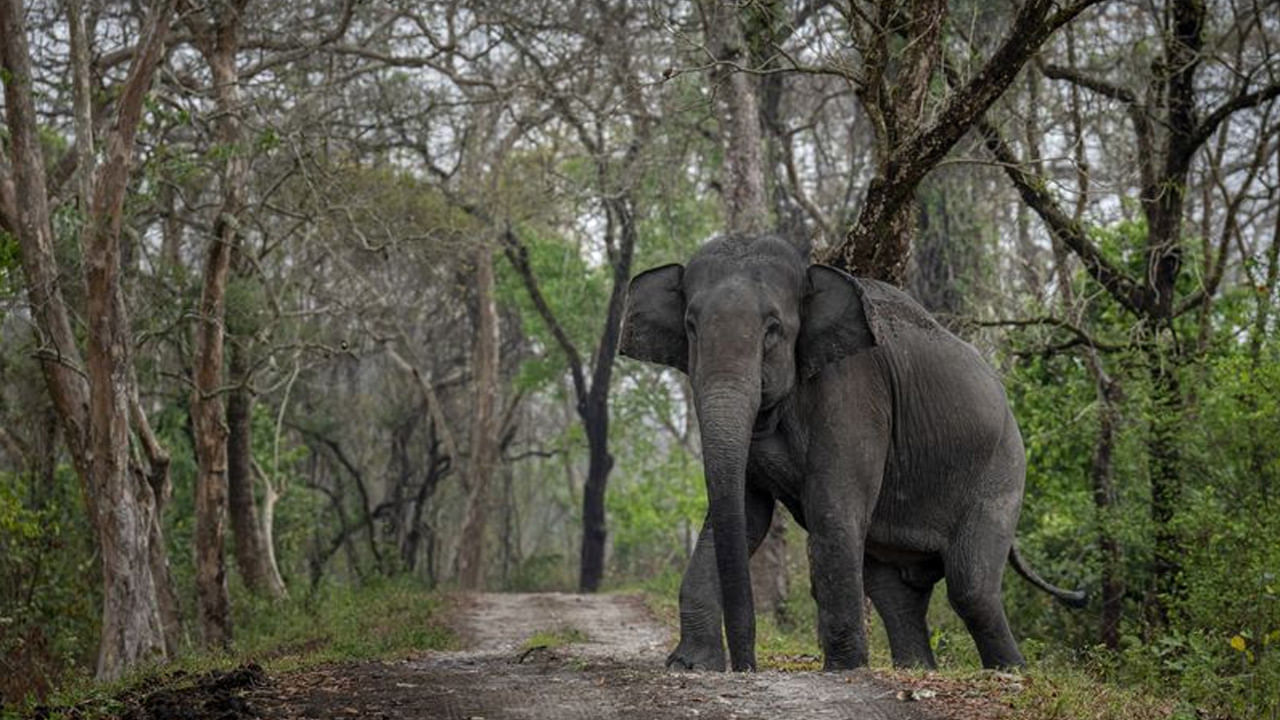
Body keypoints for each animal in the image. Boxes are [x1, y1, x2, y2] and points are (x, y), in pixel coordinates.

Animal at [616, 233, 1080, 671]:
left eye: (773, 329)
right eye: (691, 326)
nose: (747, 665)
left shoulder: (853, 389)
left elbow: (831, 509)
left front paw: (844, 669)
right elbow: (746, 515)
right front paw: (690, 664)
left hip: (1001, 471)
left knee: (972, 586)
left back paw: (1009, 672)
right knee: (894, 590)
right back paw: (918, 669)